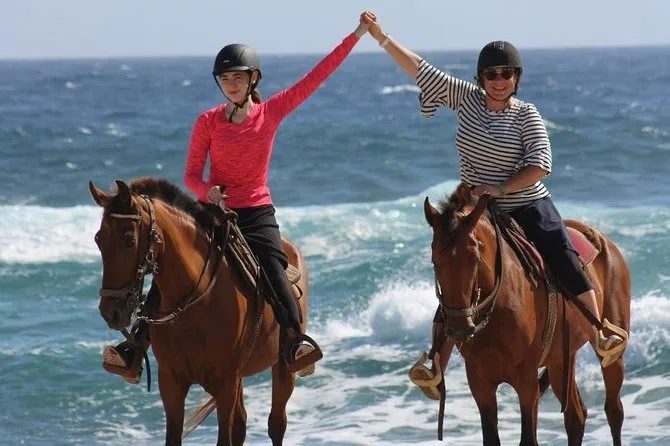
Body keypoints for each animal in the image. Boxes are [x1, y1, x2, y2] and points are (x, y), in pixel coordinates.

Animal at [90, 177, 311, 446]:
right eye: (98, 239)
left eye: (129, 241)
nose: (110, 312)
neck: (194, 305)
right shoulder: (171, 382)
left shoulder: (226, 383)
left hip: (282, 366)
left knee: (276, 423)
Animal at [422, 183, 631, 446]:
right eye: (435, 261)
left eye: (475, 257)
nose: (459, 328)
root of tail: (600, 238)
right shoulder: (480, 383)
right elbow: (491, 438)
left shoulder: (526, 381)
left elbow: (528, 438)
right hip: (562, 356)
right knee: (576, 416)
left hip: (612, 354)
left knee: (614, 410)